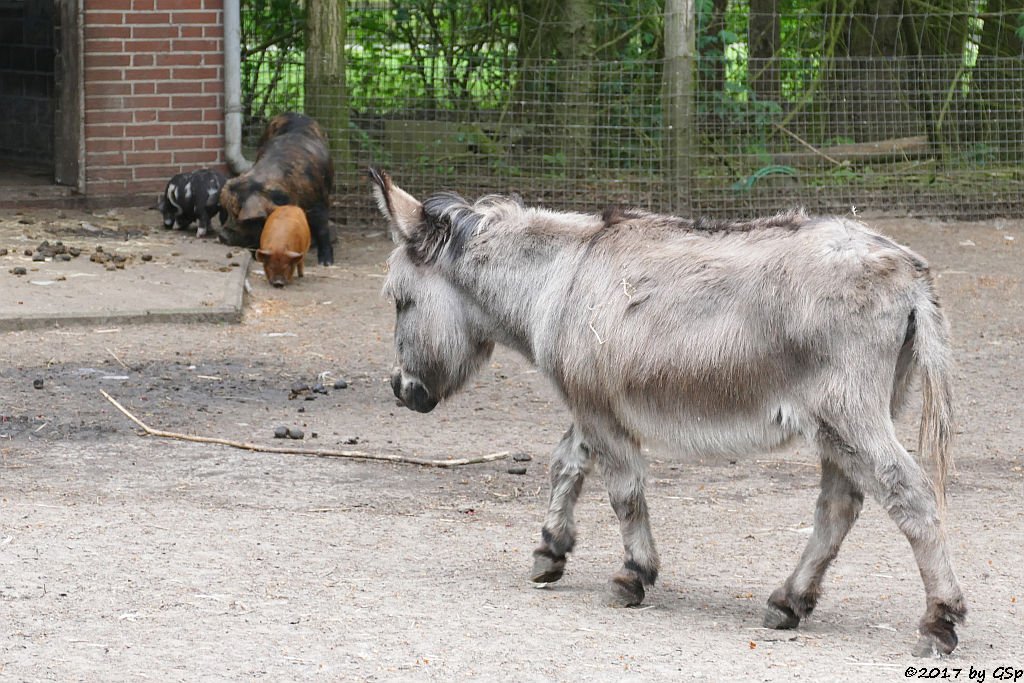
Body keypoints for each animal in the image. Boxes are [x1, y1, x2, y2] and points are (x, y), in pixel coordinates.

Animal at [218, 112, 333, 264]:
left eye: (239, 215)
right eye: (227, 211)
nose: (222, 236)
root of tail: (295, 114)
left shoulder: (319, 201)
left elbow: (323, 228)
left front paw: (326, 263)